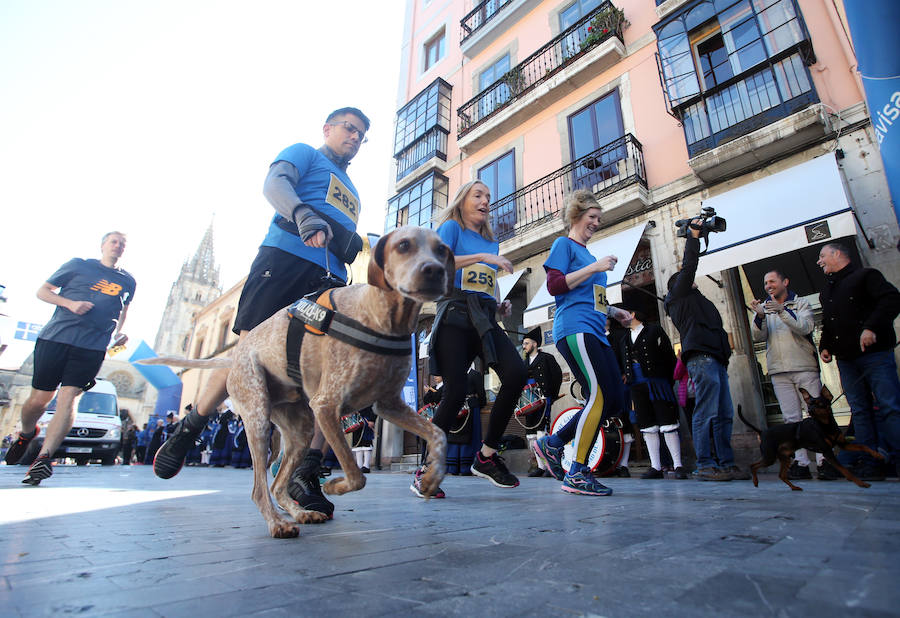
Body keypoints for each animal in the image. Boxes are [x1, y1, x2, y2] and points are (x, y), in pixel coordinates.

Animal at [144, 226, 454, 536]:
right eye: (403, 245)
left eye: (441, 250)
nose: (435, 271)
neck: (383, 317)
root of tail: (235, 359)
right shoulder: (326, 405)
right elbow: (355, 474)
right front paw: (335, 486)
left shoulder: (389, 405)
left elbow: (438, 435)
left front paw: (430, 478)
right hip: (258, 419)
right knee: (259, 489)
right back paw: (278, 523)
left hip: (300, 430)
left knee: (277, 485)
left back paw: (300, 512)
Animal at [740, 384, 884, 490]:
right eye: (809, 404)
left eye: (820, 403)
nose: (809, 410)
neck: (825, 425)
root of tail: (762, 432)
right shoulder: (827, 451)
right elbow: (845, 470)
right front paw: (861, 483)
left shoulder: (843, 444)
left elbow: (863, 446)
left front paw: (878, 455)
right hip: (770, 457)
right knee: (753, 466)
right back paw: (755, 482)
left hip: (784, 457)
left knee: (781, 475)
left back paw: (794, 487)